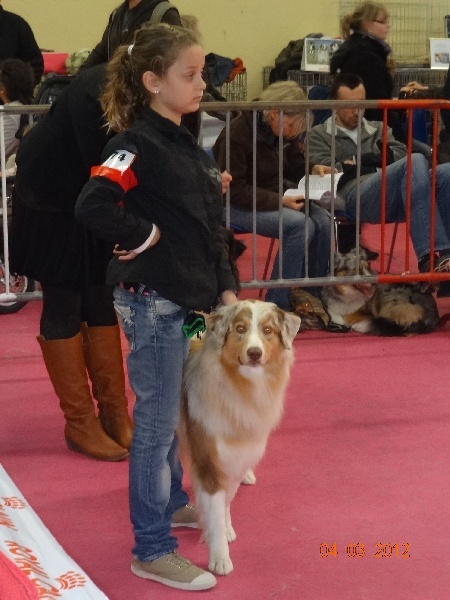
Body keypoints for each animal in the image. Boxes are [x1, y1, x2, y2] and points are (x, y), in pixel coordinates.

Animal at [178, 300, 298, 576]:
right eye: (240, 328)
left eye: (267, 330)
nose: (254, 353)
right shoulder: (210, 462)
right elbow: (215, 508)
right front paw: (219, 556)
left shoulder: (233, 458)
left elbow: (224, 504)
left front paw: (225, 529)